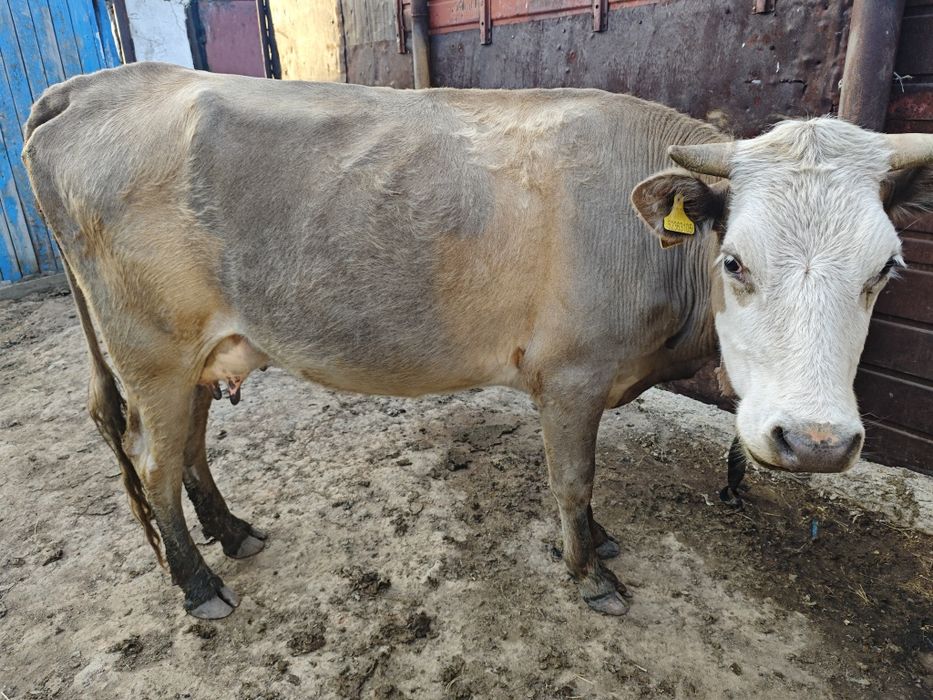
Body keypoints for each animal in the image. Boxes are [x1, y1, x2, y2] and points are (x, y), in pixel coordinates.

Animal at [22, 63, 933, 619]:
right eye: (736, 260)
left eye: (885, 267)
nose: (813, 441)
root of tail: (96, 83)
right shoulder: (570, 378)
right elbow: (572, 479)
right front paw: (589, 572)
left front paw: (598, 540)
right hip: (152, 351)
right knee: (153, 468)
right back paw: (199, 583)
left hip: (199, 354)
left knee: (189, 452)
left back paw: (233, 531)